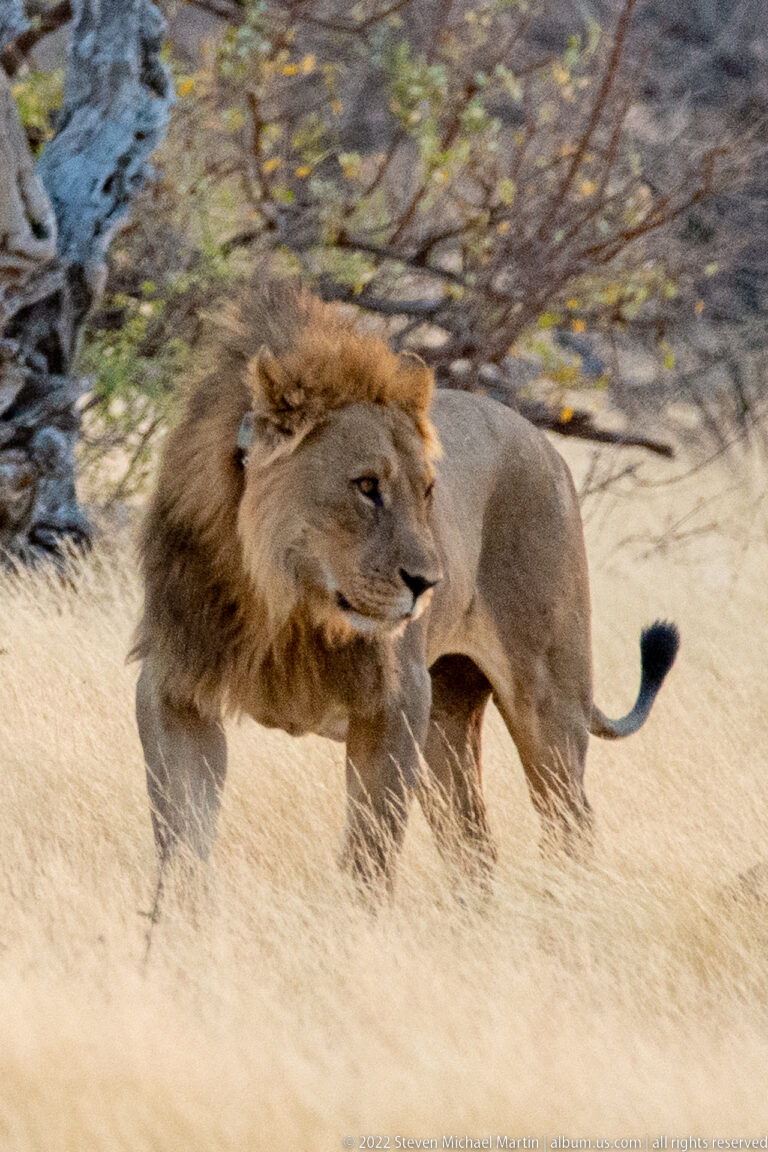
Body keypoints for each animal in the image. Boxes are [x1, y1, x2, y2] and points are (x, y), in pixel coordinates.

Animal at [134, 278, 679, 892]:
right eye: (367, 486)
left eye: (427, 491)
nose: (428, 583)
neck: (285, 604)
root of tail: (544, 443)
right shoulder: (173, 690)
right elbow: (182, 846)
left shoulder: (397, 703)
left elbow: (368, 856)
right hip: (447, 720)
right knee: (474, 848)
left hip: (548, 700)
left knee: (570, 825)